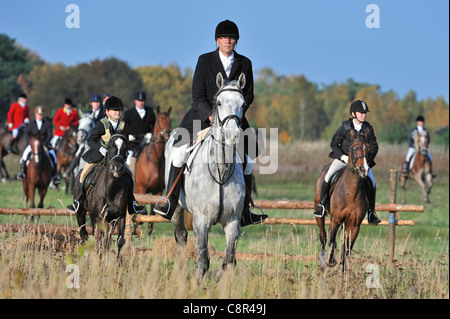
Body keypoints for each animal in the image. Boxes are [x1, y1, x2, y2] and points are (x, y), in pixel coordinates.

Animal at [167, 73, 248, 282]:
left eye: (243, 103)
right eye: (218, 102)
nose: (233, 135)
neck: (220, 171)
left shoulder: (232, 222)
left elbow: (229, 262)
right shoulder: (201, 221)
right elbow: (203, 261)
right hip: (177, 210)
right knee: (181, 237)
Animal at [314, 129, 370, 272]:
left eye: (368, 149)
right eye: (354, 148)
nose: (363, 169)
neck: (350, 193)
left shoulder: (354, 225)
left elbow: (348, 248)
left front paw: (343, 268)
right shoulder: (336, 219)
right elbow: (332, 240)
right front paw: (331, 261)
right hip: (320, 215)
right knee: (324, 237)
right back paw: (323, 262)